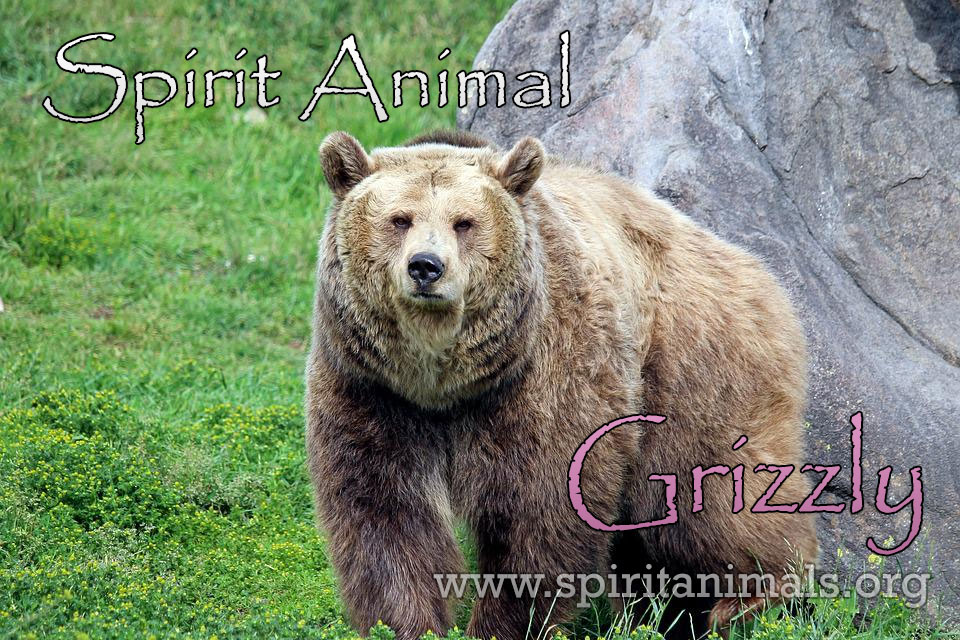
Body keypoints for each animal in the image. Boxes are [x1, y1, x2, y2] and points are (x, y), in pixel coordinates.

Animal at [305, 130, 818, 640]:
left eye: (464, 222)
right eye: (400, 219)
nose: (426, 266)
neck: (443, 382)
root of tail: (752, 266)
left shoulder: (544, 378)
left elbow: (539, 510)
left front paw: (505, 624)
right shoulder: (371, 388)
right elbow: (384, 513)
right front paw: (407, 623)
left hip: (692, 365)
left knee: (711, 491)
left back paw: (752, 599)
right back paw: (663, 615)